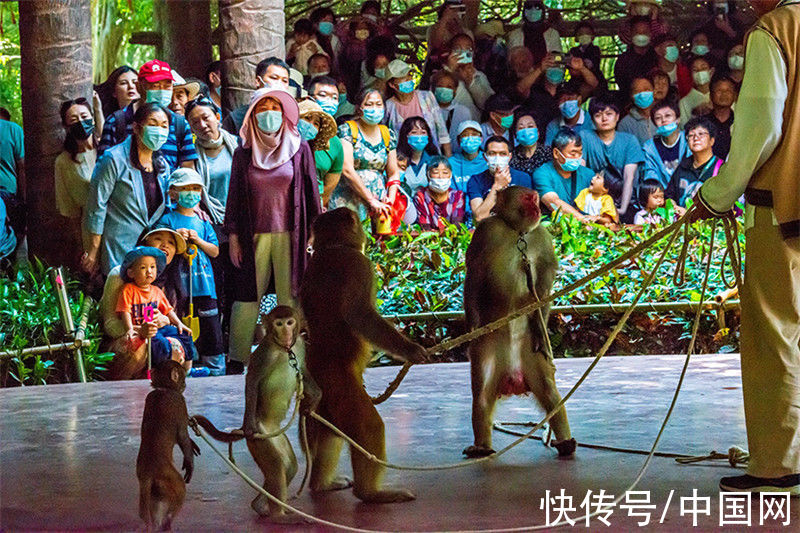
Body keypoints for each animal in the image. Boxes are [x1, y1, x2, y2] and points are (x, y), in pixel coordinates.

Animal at [138, 360, 200, 528]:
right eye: (183, 379)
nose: (185, 385)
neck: (163, 389)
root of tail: (147, 474)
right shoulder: (179, 401)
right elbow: (182, 436)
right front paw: (189, 462)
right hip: (171, 482)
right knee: (180, 493)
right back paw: (167, 522)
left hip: (154, 491)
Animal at [192, 306, 320, 520]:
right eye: (279, 324)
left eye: (290, 322)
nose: (286, 333)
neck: (284, 349)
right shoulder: (265, 352)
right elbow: (252, 380)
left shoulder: (300, 345)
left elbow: (302, 369)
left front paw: (314, 399)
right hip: (261, 438)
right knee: (277, 467)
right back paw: (278, 516)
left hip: (277, 436)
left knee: (289, 466)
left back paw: (260, 505)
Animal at [300, 207, 428, 502]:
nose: (367, 231)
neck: (332, 247)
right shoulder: (361, 266)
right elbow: (360, 315)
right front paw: (410, 350)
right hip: (340, 386)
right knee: (369, 428)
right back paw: (370, 493)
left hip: (325, 396)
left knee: (329, 433)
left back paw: (322, 484)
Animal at [462, 186, 576, 458]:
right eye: (527, 199)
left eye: (535, 199)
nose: (536, 207)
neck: (517, 232)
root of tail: (513, 376)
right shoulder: (486, 230)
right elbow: (474, 273)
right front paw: (473, 327)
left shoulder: (542, 237)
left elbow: (542, 286)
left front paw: (543, 332)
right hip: (490, 351)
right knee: (482, 394)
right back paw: (482, 447)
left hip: (530, 353)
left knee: (549, 392)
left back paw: (566, 443)